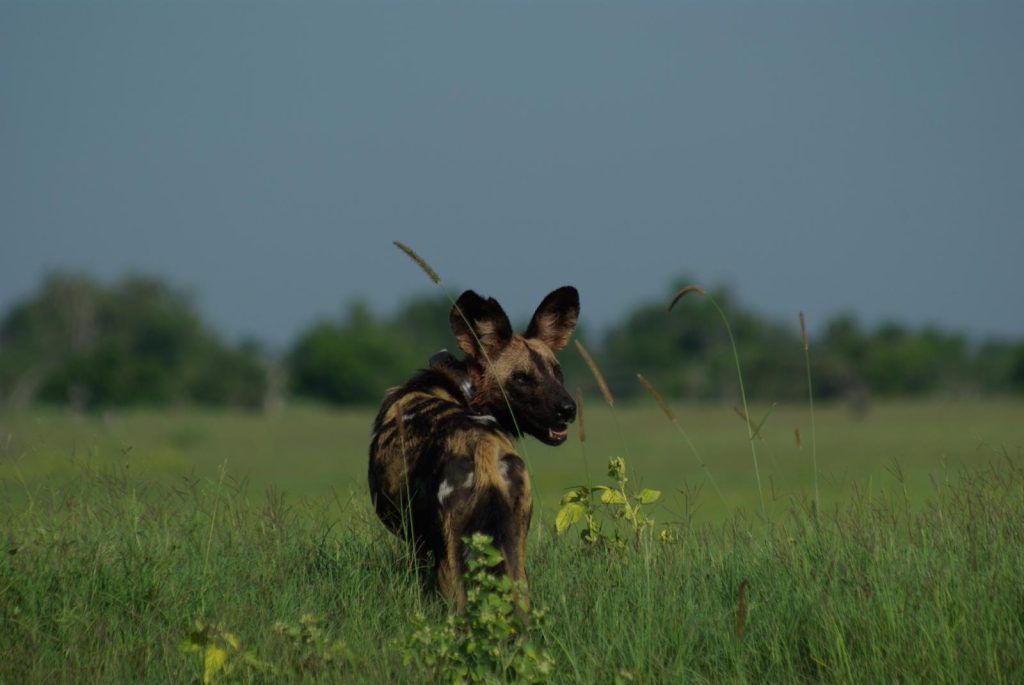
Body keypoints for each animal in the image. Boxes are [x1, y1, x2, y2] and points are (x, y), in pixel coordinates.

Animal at [368, 286, 581, 606]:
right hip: (515, 556)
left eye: (556, 372)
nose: (568, 409)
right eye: (521, 378)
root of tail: (483, 449)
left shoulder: (420, 547)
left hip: (450, 564)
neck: (463, 390)